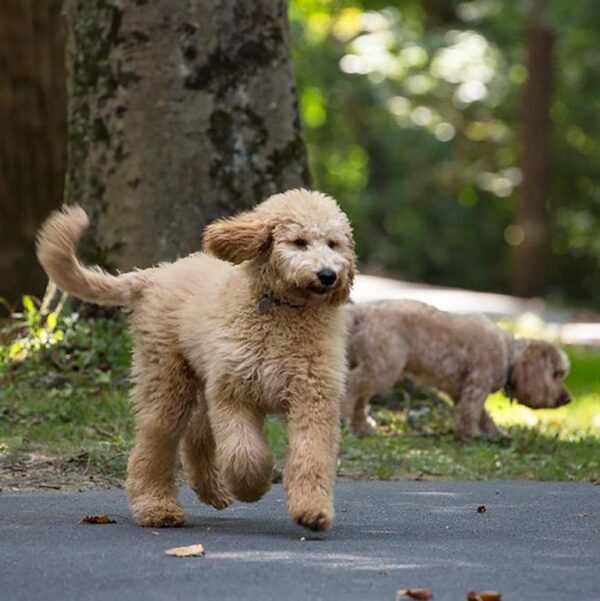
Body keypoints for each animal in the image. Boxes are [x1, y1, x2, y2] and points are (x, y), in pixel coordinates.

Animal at [36, 189, 356, 528]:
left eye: (333, 244)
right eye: (298, 241)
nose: (328, 276)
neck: (282, 309)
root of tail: (155, 274)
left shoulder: (312, 397)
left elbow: (312, 455)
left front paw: (312, 511)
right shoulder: (233, 393)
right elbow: (243, 452)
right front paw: (252, 485)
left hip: (199, 380)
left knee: (195, 435)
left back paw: (212, 491)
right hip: (166, 379)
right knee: (155, 442)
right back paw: (157, 507)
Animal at [340, 302, 568, 438]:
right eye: (556, 374)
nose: (567, 399)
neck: (508, 354)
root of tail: (362, 312)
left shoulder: (460, 391)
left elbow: (482, 414)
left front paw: (495, 433)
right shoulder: (476, 386)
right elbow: (470, 411)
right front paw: (472, 435)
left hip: (373, 366)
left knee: (361, 399)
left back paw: (362, 426)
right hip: (384, 367)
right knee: (352, 384)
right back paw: (344, 417)